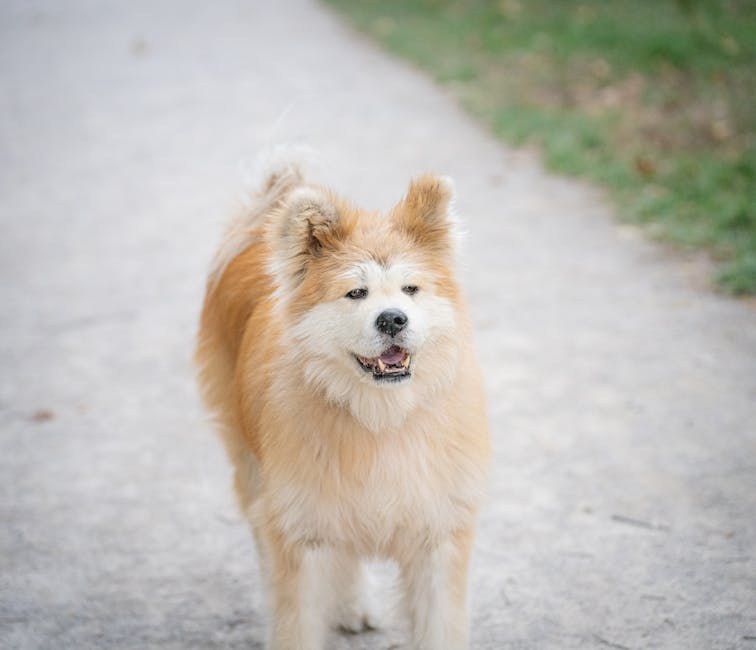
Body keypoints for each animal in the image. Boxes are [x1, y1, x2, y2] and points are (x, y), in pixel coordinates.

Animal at [195, 161, 490, 648]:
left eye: (411, 289)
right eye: (356, 293)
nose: (393, 319)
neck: (381, 418)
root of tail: (260, 219)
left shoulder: (439, 534)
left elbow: (439, 627)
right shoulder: (299, 532)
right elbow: (296, 623)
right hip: (255, 471)